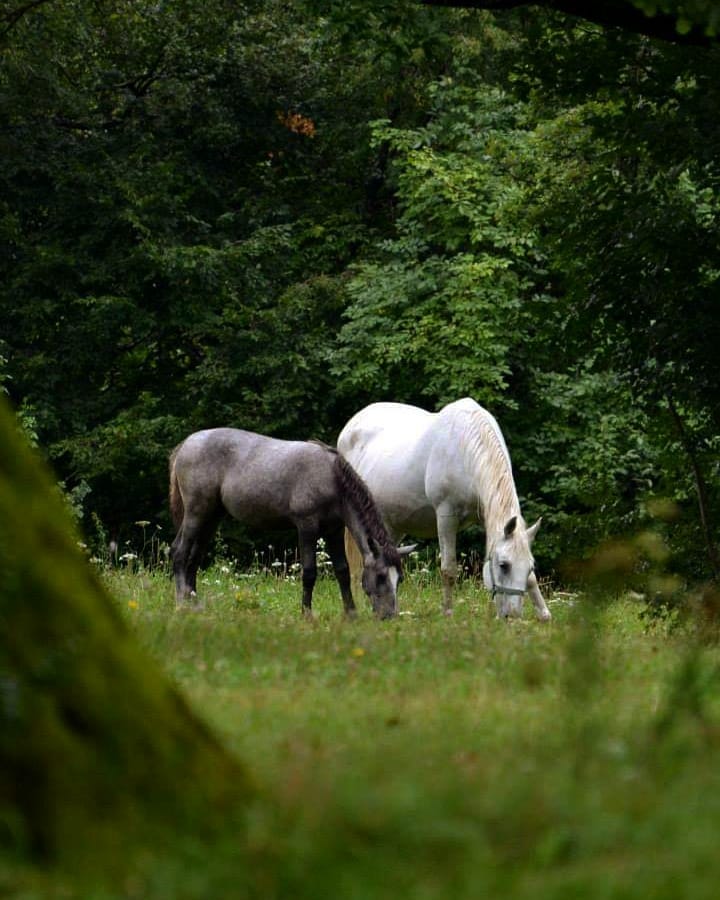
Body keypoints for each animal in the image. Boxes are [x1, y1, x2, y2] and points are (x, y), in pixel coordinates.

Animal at [169, 428, 414, 618]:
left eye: (399, 579)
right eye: (381, 576)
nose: (389, 615)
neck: (331, 478)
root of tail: (186, 444)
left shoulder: (333, 531)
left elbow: (342, 571)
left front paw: (350, 613)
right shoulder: (307, 527)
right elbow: (309, 573)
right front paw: (306, 613)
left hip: (211, 517)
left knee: (194, 557)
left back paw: (195, 602)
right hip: (196, 513)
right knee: (179, 552)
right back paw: (181, 602)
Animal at [337, 398, 551, 621]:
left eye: (530, 566)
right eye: (504, 565)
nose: (513, 616)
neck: (465, 448)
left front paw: (544, 614)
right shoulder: (446, 516)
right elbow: (448, 569)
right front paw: (447, 612)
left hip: (392, 525)